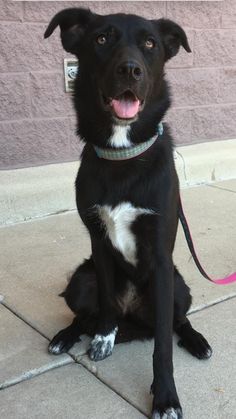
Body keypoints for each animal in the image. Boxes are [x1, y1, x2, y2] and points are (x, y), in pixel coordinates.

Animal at [44, 9, 212, 419]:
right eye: (102, 39)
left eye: (150, 42)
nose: (130, 70)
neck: (122, 157)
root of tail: (132, 316)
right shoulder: (99, 244)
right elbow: (104, 305)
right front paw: (103, 338)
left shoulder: (162, 259)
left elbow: (163, 346)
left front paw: (165, 398)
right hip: (81, 279)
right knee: (84, 313)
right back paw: (67, 335)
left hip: (179, 287)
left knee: (177, 319)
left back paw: (196, 341)